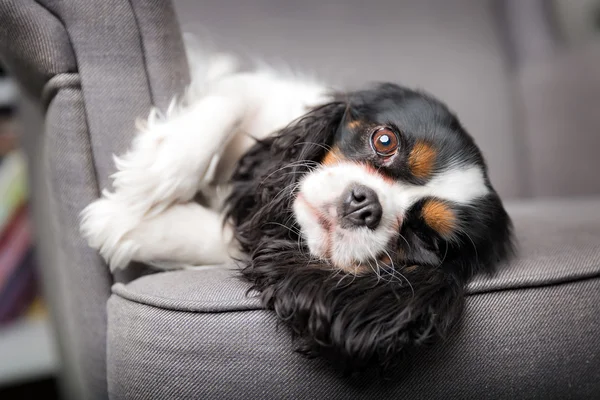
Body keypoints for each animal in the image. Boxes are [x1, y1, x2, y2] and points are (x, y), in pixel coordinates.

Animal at [79, 50, 512, 372]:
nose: (365, 204)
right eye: (384, 140)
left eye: (427, 239)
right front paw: (158, 167)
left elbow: (227, 239)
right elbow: (233, 99)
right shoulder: (258, 92)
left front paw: (122, 223)